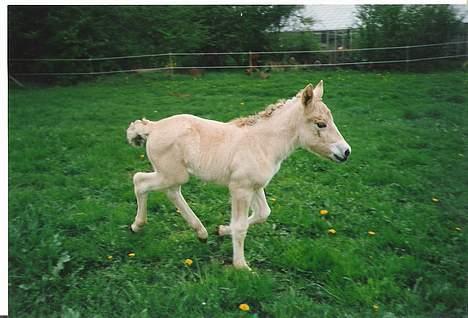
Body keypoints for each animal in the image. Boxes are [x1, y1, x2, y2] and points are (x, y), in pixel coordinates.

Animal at [126, 80, 350, 270]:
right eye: (321, 124)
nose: (346, 152)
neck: (263, 143)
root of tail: (153, 126)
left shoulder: (256, 186)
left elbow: (262, 214)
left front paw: (222, 230)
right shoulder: (240, 188)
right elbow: (241, 226)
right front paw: (242, 266)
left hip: (173, 174)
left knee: (171, 192)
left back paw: (202, 233)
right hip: (171, 173)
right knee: (140, 181)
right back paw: (137, 226)